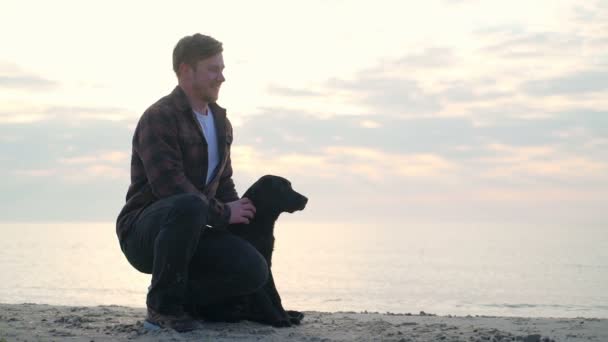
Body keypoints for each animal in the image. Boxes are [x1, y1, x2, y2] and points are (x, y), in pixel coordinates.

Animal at [197, 175, 306, 328]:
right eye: (283, 188)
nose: (306, 199)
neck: (258, 224)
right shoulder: (259, 267)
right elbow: (265, 299)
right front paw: (278, 320)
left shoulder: (267, 264)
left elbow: (275, 296)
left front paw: (285, 317)